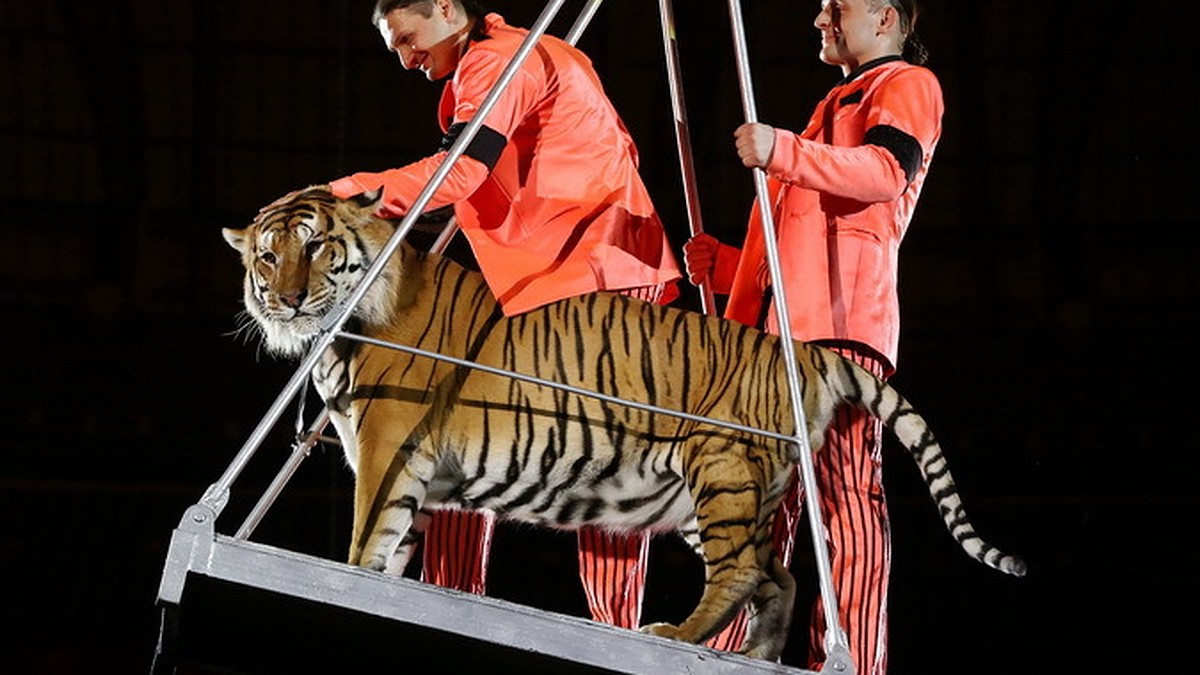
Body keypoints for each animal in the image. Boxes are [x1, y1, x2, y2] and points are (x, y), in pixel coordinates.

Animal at [223, 186, 1022, 658]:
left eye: (315, 246)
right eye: (266, 254)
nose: (284, 299)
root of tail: (803, 350)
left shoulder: (388, 441)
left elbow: (367, 540)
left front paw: (346, 585)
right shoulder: (411, 471)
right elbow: (393, 552)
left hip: (719, 471)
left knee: (741, 573)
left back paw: (680, 633)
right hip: (730, 494)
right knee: (782, 578)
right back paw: (750, 654)